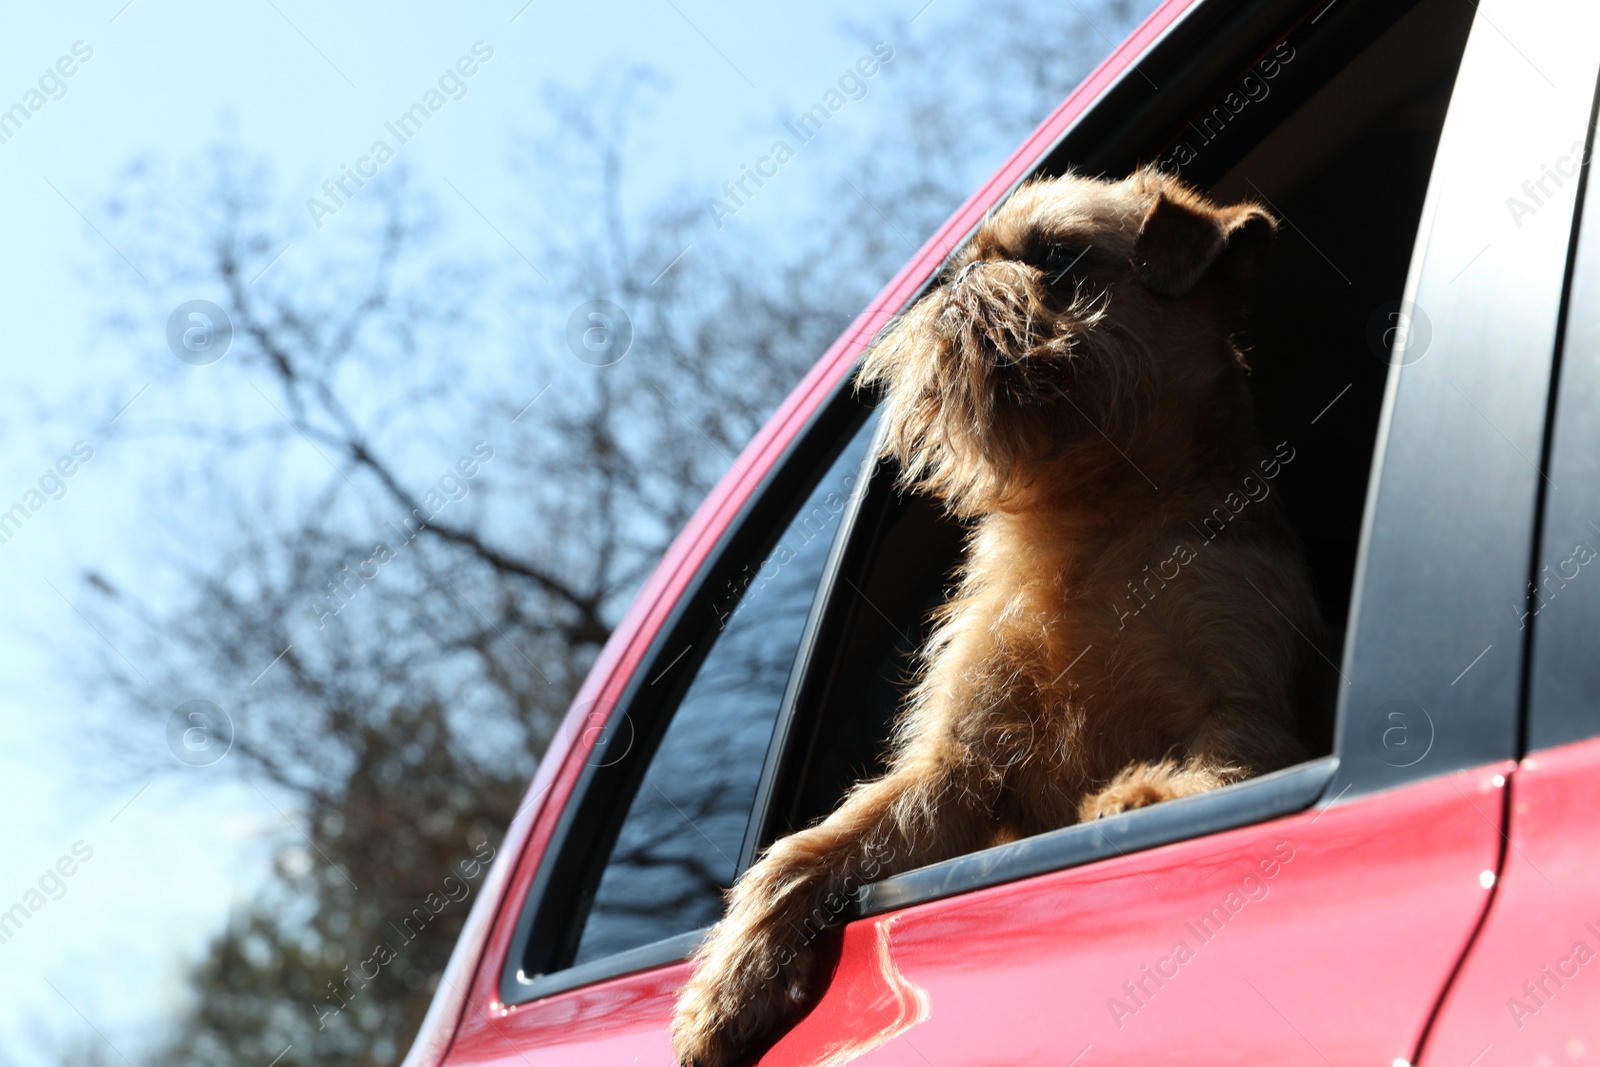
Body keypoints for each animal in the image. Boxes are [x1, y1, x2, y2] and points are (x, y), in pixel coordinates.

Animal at [668, 168, 1318, 1067]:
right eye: (971, 260)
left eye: (1056, 256)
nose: (961, 278)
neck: (1095, 524)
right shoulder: (959, 768)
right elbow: (811, 850)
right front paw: (727, 986)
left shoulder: (1244, 698)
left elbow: (1232, 757)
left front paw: (1152, 791)